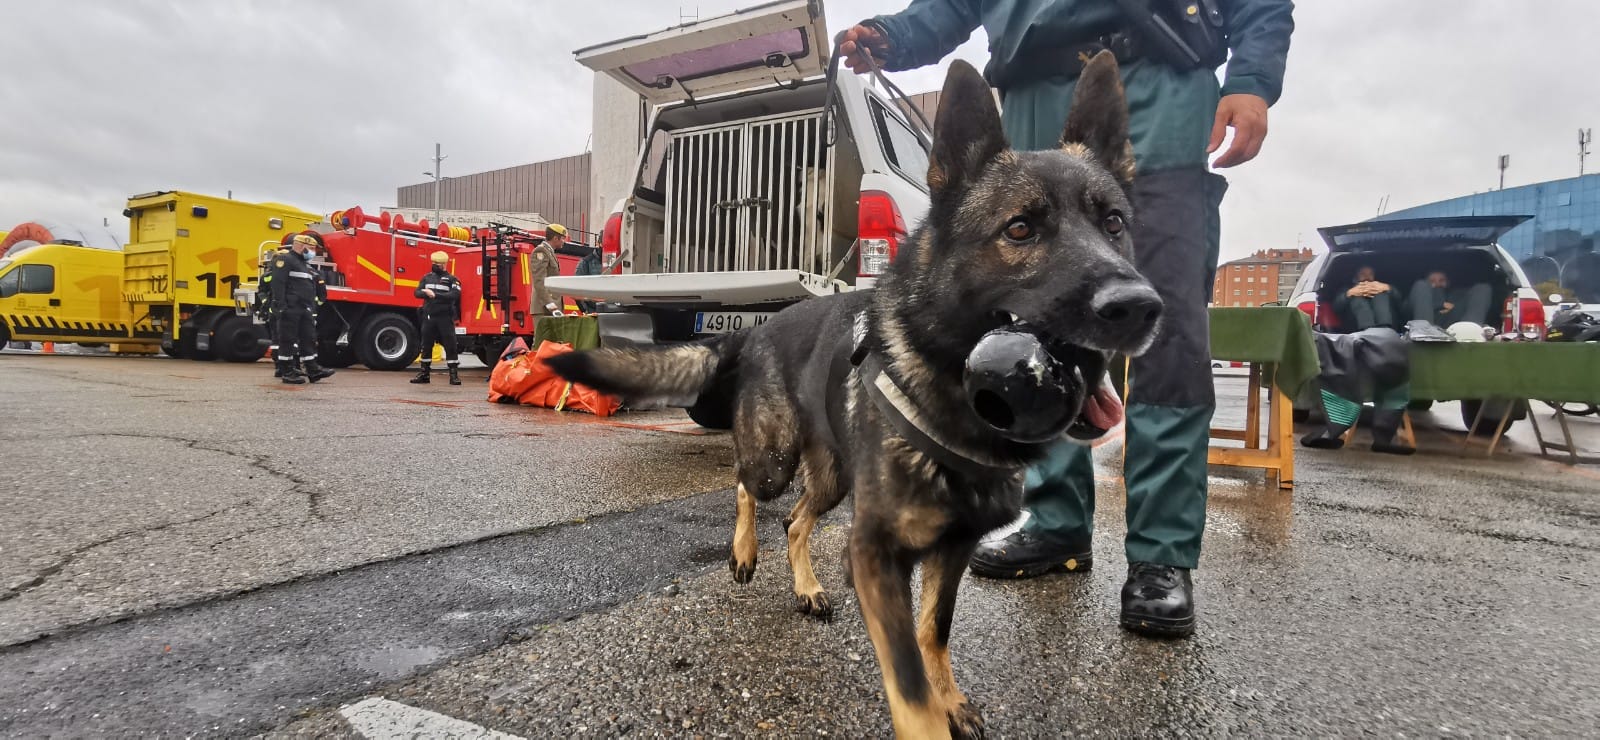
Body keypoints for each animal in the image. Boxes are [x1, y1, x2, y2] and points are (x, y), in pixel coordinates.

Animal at [550, 54, 1164, 736]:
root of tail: (757, 330)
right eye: (1021, 228)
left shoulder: (952, 549)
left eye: (1114, 224)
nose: (1139, 307)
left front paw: (951, 698)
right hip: (776, 457)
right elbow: (907, 680)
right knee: (747, 486)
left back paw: (807, 588)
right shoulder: (873, 554)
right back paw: (743, 552)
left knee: (795, 519)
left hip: (834, 478)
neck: (951, 400)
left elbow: (934, 632)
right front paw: (930, 712)